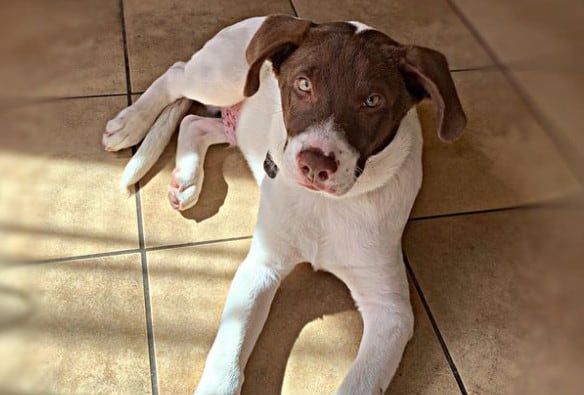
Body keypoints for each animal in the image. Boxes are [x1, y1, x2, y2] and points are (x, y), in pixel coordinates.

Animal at [102, 14, 468, 395]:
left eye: (373, 100)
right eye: (303, 84)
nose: (315, 164)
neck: (323, 206)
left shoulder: (390, 313)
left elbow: (359, 383)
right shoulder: (261, 265)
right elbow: (228, 353)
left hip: (236, 120)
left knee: (193, 122)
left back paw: (186, 178)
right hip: (220, 80)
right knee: (176, 75)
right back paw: (129, 124)